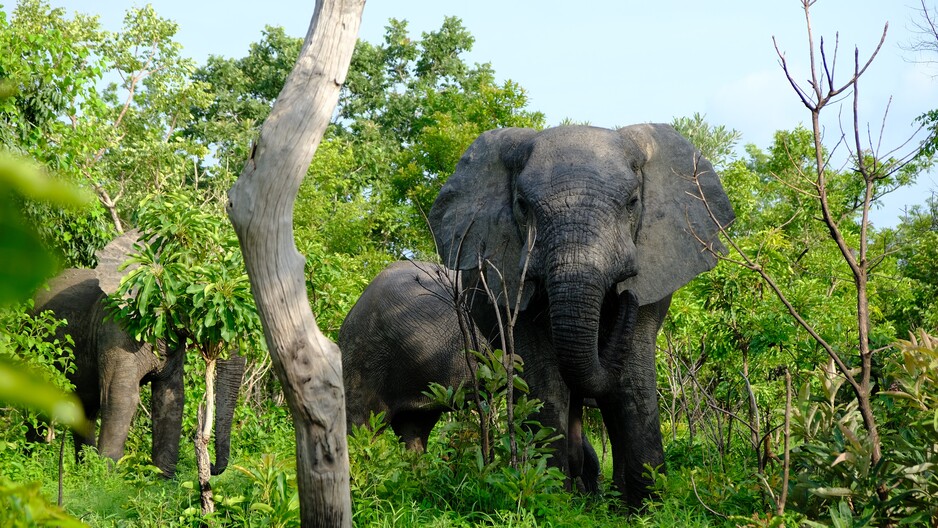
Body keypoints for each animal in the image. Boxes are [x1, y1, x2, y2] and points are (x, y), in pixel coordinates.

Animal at [31, 231, 245, 478]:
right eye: (202, 296)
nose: (209, 466)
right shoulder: (116, 328)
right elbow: (121, 396)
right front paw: (108, 478)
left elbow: (170, 397)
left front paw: (163, 479)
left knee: (86, 408)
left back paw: (83, 469)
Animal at [428, 124, 735, 507]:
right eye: (522, 206)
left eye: (633, 203)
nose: (626, 295)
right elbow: (545, 381)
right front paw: (550, 497)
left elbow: (632, 382)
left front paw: (646, 507)